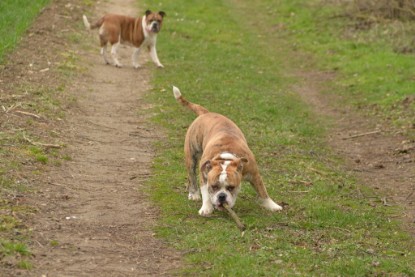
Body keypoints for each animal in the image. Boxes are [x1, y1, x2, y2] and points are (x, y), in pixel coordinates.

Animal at [172, 86, 282, 216]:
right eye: (214, 187)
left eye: (231, 187)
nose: (222, 196)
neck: (225, 157)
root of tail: (206, 113)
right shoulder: (204, 176)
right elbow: (206, 193)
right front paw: (206, 207)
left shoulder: (254, 174)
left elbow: (263, 191)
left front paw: (272, 205)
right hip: (191, 156)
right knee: (191, 175)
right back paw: (193, 194)